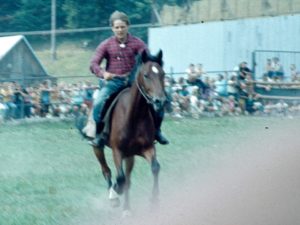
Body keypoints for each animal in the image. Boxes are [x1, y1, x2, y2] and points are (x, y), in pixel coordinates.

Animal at [92, 49, 166, 214]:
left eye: (163, 74)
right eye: (146, 75)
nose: (160, 101)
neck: (134, 116)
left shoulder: (147, 148)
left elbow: (155, 167)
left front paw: (155, 199)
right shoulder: (117, 151)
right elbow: (120, 178)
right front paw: (116, 191)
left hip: (130, 156)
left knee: (128, 178)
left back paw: (127, 209)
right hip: (98, 147)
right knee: (106, 170)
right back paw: (113, 197)